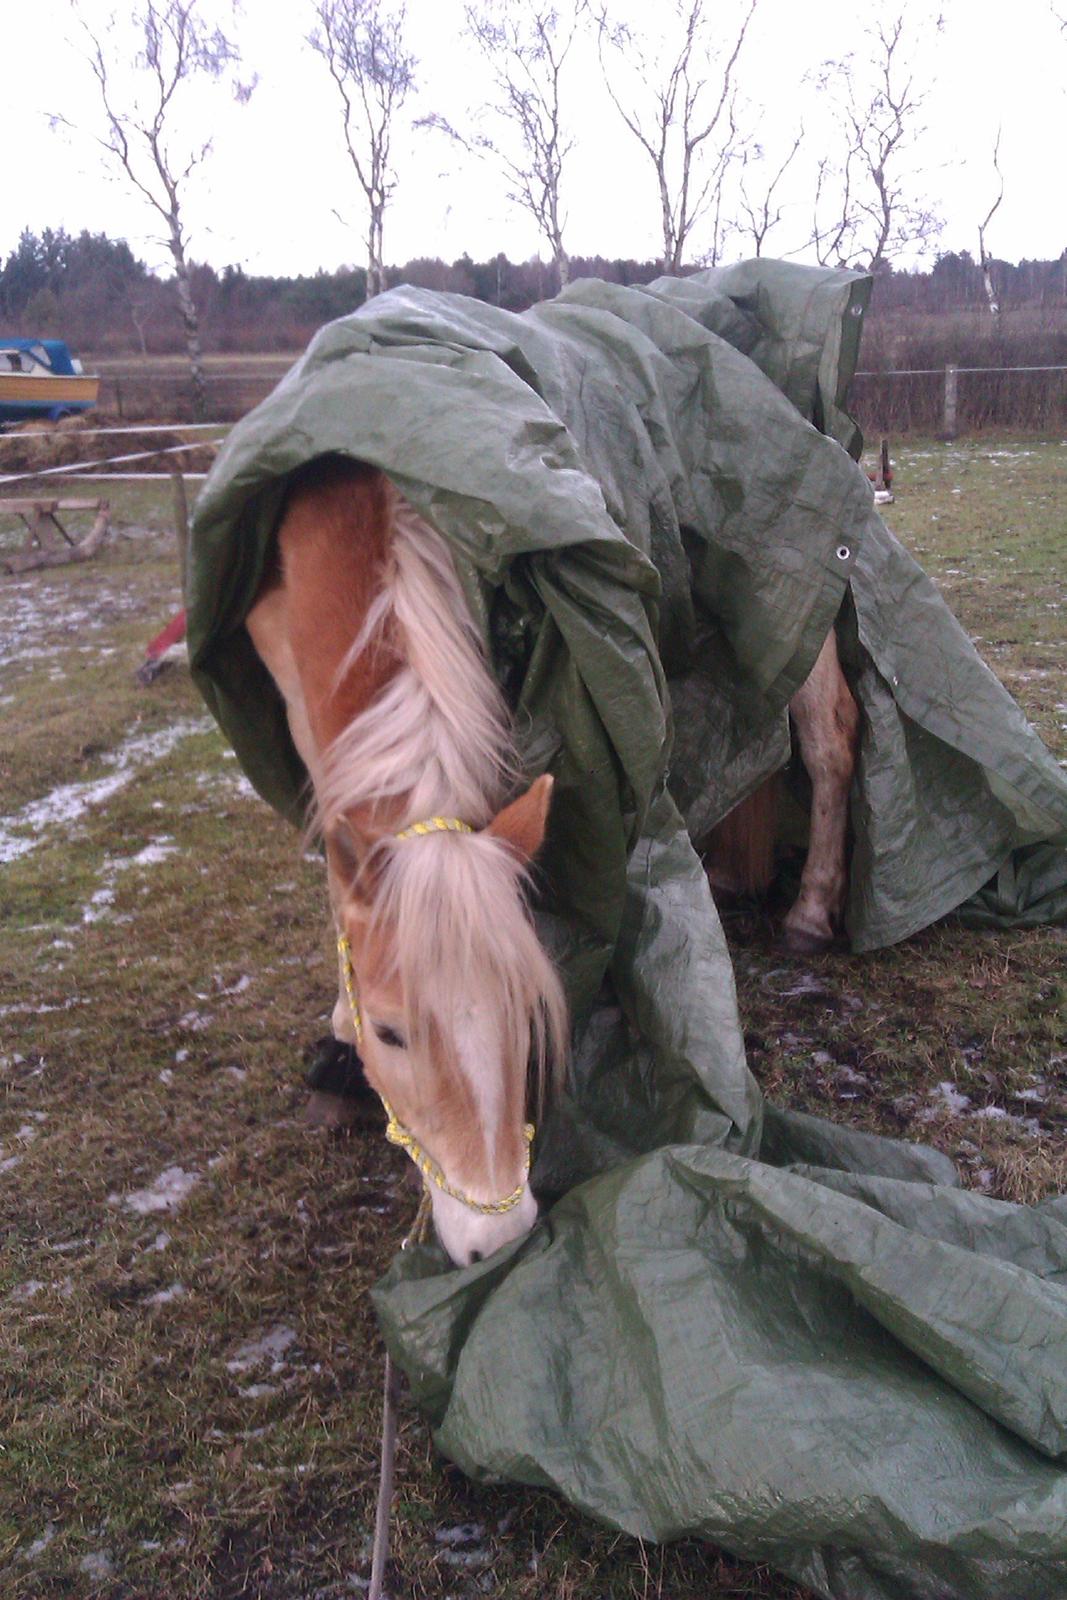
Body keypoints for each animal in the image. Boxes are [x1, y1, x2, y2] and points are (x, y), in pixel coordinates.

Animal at [247, 451, 857, 1260]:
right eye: (391, 1032)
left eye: (527, 1009)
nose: (496, 1238)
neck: (353, 520)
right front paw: (340, 1035)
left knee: (827, 742)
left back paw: (811, 911)